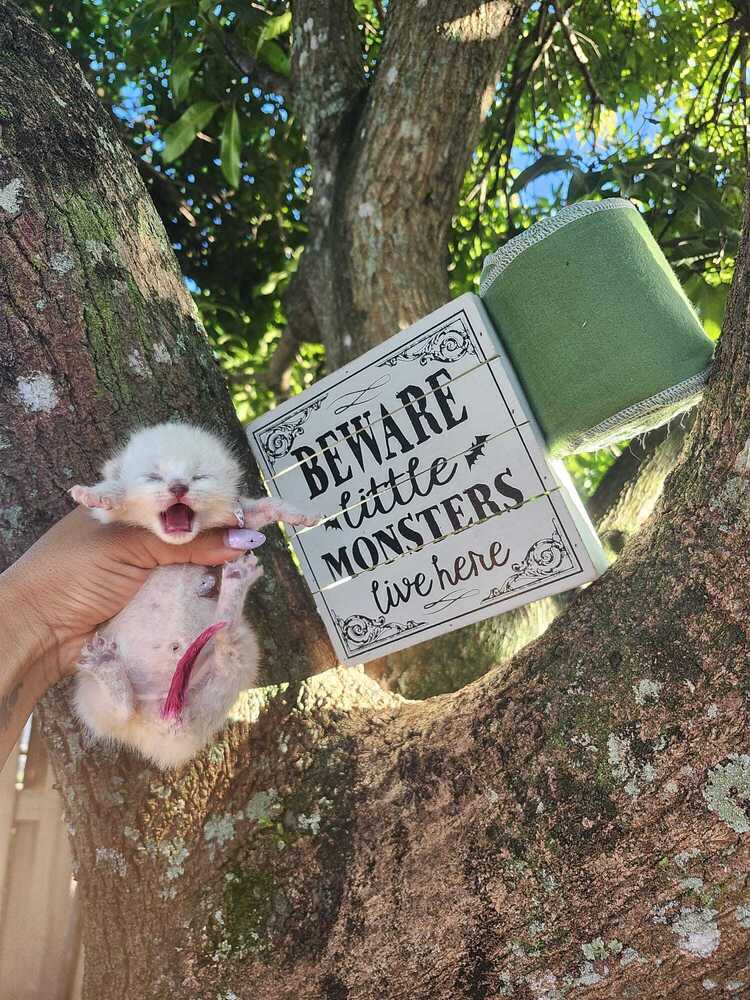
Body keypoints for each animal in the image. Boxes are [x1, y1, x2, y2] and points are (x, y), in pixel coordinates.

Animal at [69, 422, 318, 772]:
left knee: (227, 642)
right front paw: (101, 492)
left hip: (234, 662)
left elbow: (255, 510)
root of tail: (166, 722)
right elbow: (113, 501)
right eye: (152, 477)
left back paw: (234, 587)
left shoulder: (233, 518)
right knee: (122, 711)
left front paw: (295, 512)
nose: (178, 487)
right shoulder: (109, 523)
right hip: (90, 698)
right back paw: (108, 668)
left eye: (200, 477)